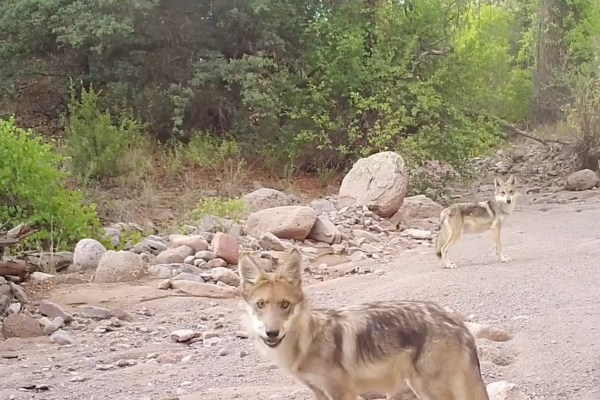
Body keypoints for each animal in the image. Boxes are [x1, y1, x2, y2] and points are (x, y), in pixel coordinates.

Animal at [237, 248, 490, 398]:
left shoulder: (343, 394)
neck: (306, 343)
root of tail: (458, 321)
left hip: (428, 389)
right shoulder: (319, 393)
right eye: (261, 304)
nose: (272, 332)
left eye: (284, 305)